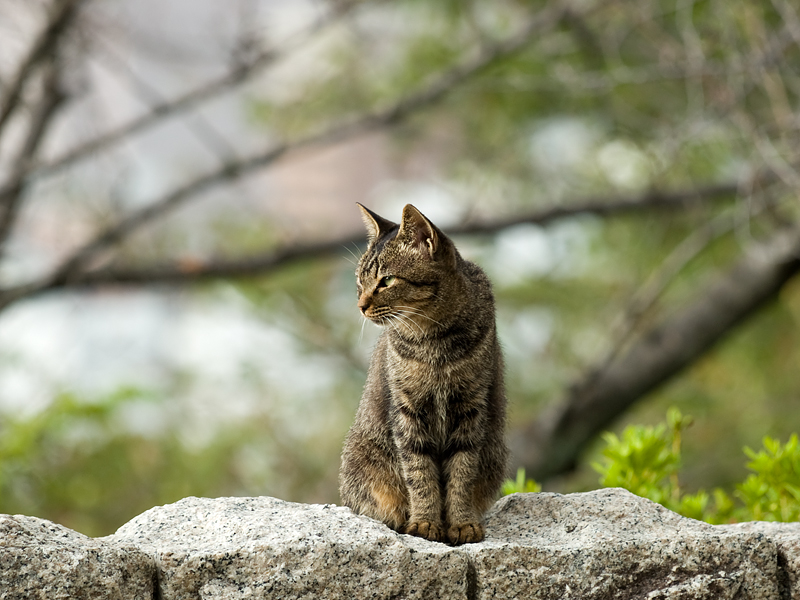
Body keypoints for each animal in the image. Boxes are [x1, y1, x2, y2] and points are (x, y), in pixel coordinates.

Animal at [338, 204, 506, 548]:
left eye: (387, 280)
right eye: (360, 281)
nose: (360, 305)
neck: (434, 340)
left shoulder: (471, 408)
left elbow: (462, 473)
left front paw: (462, 523)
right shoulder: (407, 411)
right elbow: (419, 473)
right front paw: (425, 522)